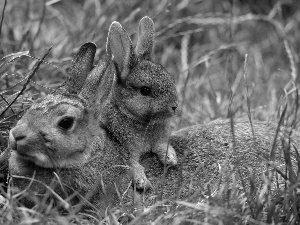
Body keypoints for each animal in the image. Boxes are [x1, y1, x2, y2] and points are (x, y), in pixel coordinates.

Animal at [100, 16, 178, 191]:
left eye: (169, 79)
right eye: (145, 90)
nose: (174, 106)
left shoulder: (159, 139)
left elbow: (161, 146)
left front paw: (170, 158)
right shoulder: (127, 150)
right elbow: (133, 165)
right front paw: (142, 182)